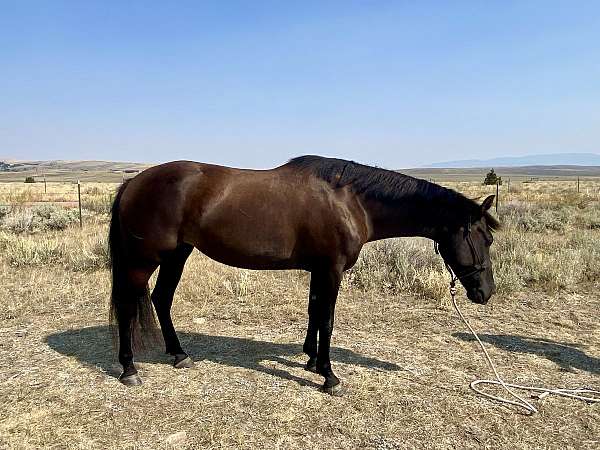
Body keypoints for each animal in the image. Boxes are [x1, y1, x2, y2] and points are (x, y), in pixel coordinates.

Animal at [109, 155, 502, 394]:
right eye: (485, 238)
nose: (485, 291)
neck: (351, 201)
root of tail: (133, 183)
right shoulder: (331, 269)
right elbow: (327, 319)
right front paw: (329, 376)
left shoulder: (318, 269)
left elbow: (314, 312)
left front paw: (311, 360)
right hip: (144, 260)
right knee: (128, 307)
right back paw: (129, 369)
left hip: (177, 254)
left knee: (161, 300)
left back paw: (179, 355)